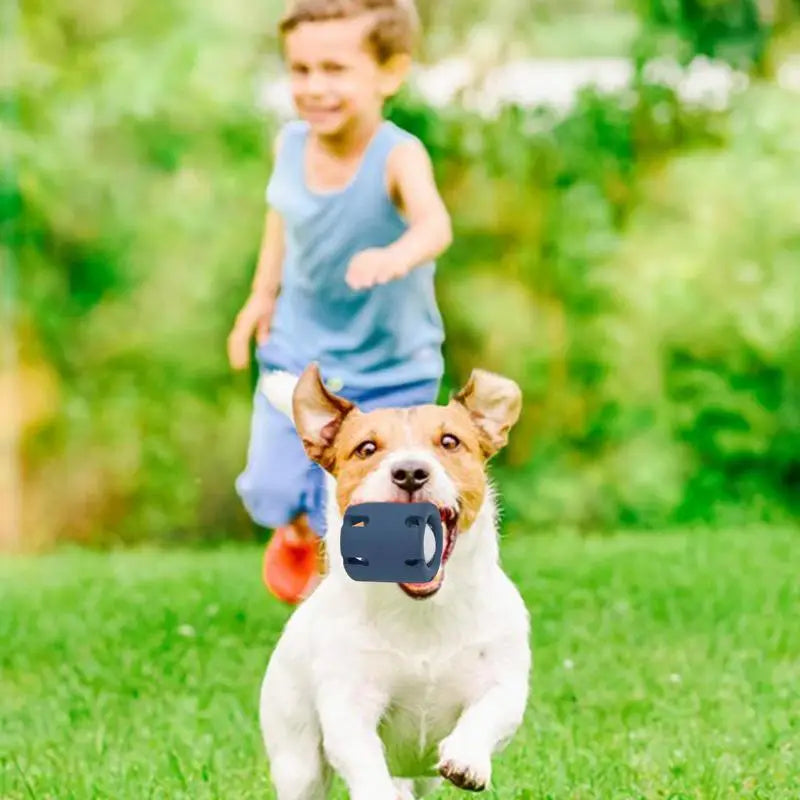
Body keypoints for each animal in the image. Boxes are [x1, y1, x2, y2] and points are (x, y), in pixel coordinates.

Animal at [258, 364, 532, 800]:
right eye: (366, 448)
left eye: (450, 441)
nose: (410, 472)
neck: (421, 613)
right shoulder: (349, 704)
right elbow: (363, 758)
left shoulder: (503, 680)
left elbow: (490, 712)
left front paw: (467, 759)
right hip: (296, 757)